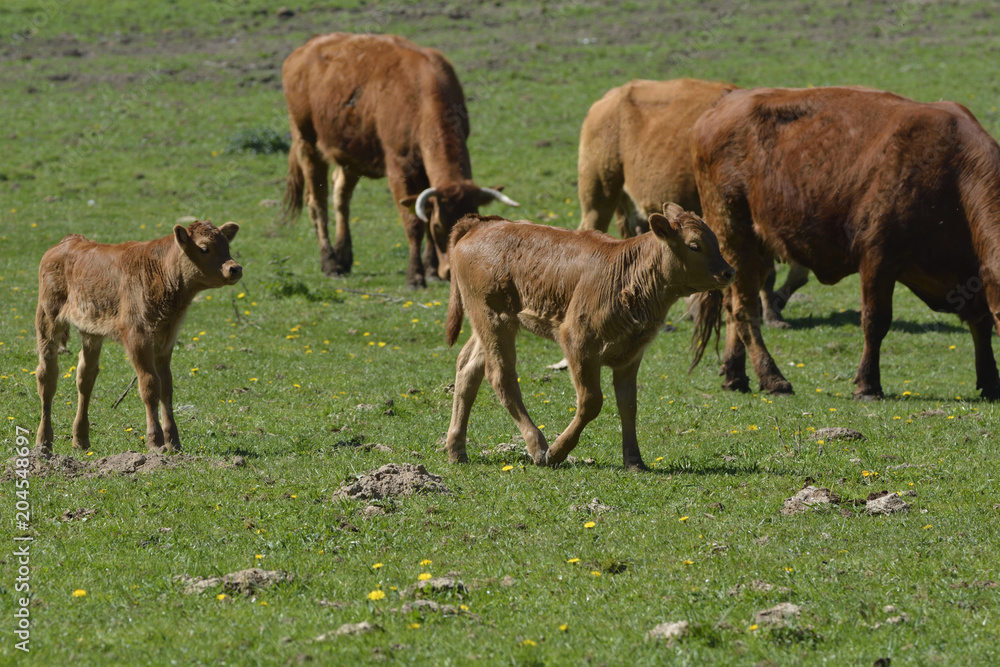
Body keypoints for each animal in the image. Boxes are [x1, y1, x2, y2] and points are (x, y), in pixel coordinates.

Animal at [35, 221, 243, 454]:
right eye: (204, 248)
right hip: (47, 319)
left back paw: (80, 439)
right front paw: (155, 441)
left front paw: (174, 441)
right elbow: (150, 385)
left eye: (226, 245)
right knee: (47, 377)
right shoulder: (137, 338)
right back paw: (43, 441)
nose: (235, 268)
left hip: (91, 331)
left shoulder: (165, 340)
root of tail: (69, 240)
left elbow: (166, 386)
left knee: (85, 377)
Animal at [282, 32, 519, 288]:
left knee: (340, 196)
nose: (449, 271)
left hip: (350, 153)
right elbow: (414, 222)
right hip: (306, 142)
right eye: (439, 225)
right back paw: (330, 263)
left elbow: (423, 212)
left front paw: (431, 270)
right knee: (317, 204)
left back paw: (343, 256)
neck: (422, 94)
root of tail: (307, 47)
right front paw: (415, 275)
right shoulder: (399, 168)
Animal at [444, 205, 735, 471]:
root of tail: (482, 224)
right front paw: (557, 452)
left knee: (467, 368)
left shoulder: (630, 355)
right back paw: (538, 447)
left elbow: (628, 404)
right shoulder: (578, 343)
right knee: (500, 376)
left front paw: (635, 461)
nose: (729, 272)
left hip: (488, 325)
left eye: (715, 240)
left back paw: (456, 449)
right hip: (495, 320)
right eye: (695, 245)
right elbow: (591, 401)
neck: (628, 273)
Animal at [690, 86, 1000, 400]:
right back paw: (773, 378)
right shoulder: (877, 258)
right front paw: (868, 384)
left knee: (732, 305)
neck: (954, 171)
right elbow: (875, 321)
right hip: (733, 232)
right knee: (745, 309)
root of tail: (720, 108)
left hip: (756, 248)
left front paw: (990, 382)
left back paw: (735, 375)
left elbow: (981, 324)